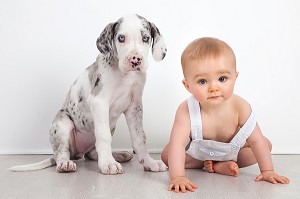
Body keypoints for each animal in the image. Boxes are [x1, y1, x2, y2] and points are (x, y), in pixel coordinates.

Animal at [9, 14, 169, 174]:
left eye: (146, 38)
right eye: (121, 38)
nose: (135, 60)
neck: (125, 75)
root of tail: (76, 153)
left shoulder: (135, 107)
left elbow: (140, 137)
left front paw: (149, 162)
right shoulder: (100, 102)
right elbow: (104, 137)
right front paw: (108, 164)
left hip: (109, 128)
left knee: (92, 153)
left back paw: (119, 155)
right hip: (62, 124)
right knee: (62, 152)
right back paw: (65, 164)